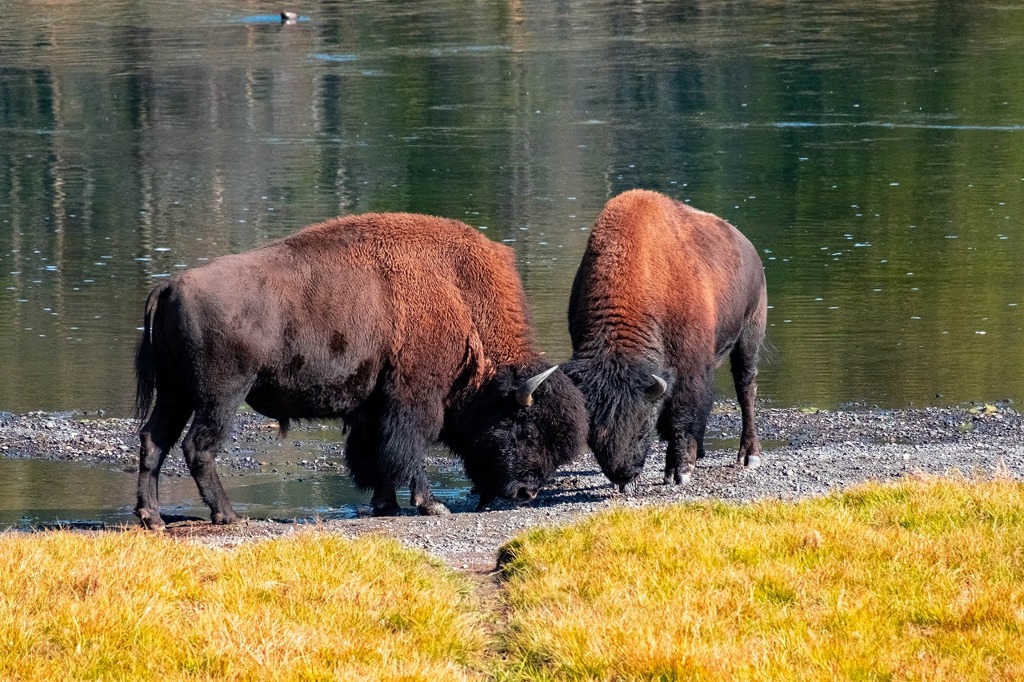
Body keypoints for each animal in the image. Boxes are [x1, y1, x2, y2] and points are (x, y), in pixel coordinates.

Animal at [132, 209, 589, 528]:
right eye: (526, 430)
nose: (526, 492)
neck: (459, 295)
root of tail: (169, 286)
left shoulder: (374, 404)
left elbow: (376, 454)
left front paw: (385, 505)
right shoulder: (415, 398)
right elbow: (408, 450)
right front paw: (431, 505)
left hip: (176, 391)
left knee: (154, 439)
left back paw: (152, 517)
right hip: (220, 395)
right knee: (198, 447)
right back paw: (227, 515)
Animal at [565, 187, 765, 489]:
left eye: (642, 428)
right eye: (594, 436)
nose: (622, 475)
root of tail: (750, 249)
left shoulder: (688, 369)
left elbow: (679, 416)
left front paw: (680, 471)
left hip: (749, 336)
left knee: (746, 390)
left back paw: (749, 455)